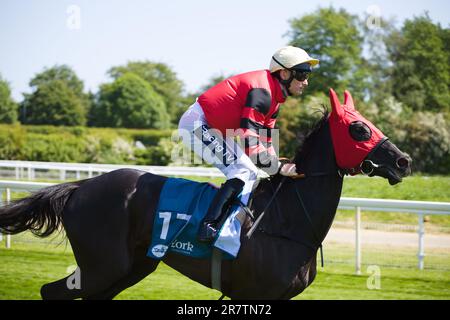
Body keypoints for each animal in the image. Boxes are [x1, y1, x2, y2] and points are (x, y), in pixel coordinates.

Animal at [0, 89, 412, 298]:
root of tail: (79, 187)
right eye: (359, 129)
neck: (285, 221)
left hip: (129, 269)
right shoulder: (253, 295)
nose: (403, 161)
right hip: (102, 268)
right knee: (51, 293)